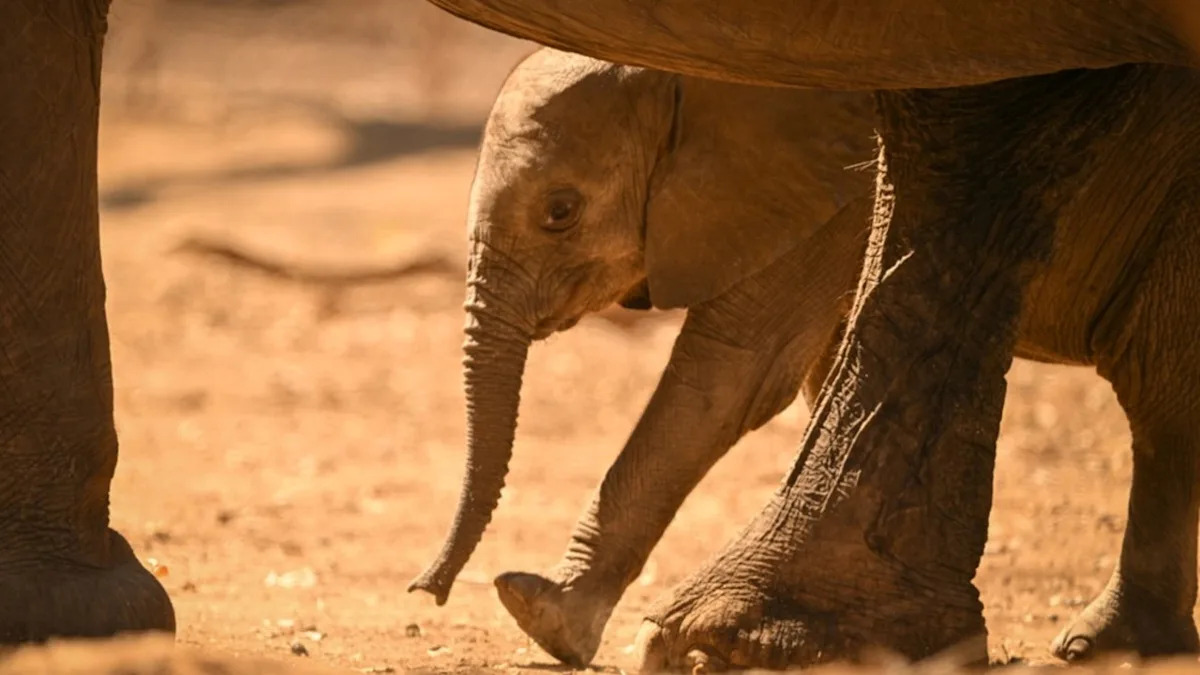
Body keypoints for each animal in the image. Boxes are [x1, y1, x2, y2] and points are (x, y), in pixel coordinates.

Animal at [417, 0, 1200, 670]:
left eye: (561, 212)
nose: (428, 589)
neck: (703, 79)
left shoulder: (824, 199)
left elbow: (732, 374)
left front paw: (545, 616)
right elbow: (810, 370)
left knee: (1161, 397)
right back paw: (1119, 645)